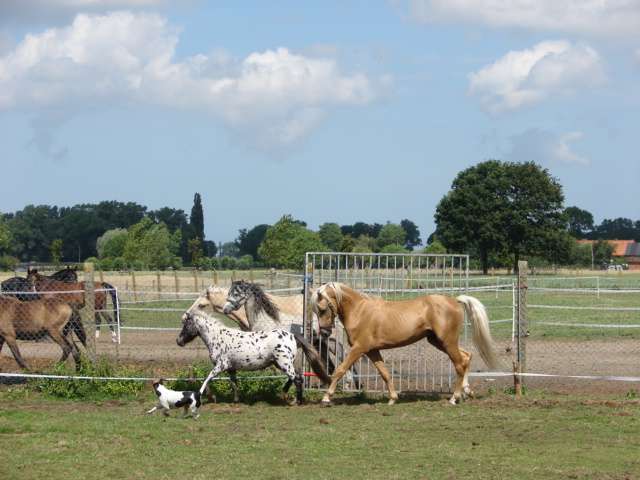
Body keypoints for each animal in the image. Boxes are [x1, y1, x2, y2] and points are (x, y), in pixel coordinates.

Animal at [175, 310, 330, 404]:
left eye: (186, 325)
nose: (179, 341)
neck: (218, 338)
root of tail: (292, 336)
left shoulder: (220, 365)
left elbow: (207, 378)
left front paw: (200, 395)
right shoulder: (231, 368)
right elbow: (234, 383)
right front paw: (235, 399)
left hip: (284, 363)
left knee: (297, 379)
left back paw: (296, 401)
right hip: (281, 363)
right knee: (295, 377)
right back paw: (285, 394)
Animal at [312, 284, 498, 406]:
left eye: (321, 308)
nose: (324, 333)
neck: (360, 311)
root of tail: (455, 301)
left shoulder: (359, 348)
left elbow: (340, 369)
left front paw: (326, 398)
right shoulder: (372, 350)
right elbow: (385, 373)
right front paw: (393, 398)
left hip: (447, 341)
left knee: (459, 364)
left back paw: (454, 398)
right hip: (438, 341)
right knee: (466, 357)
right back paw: (467, 392)